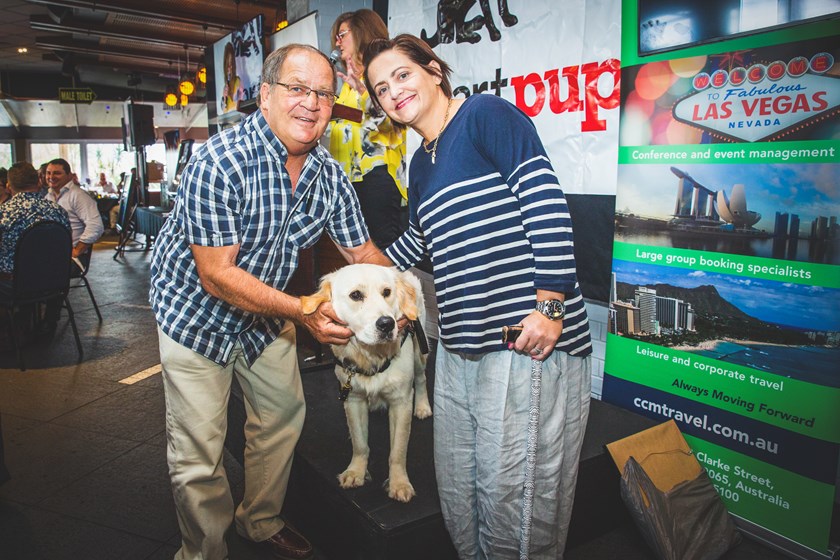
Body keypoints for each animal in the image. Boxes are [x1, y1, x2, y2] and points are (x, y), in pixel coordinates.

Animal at [300, 264, 430, 500]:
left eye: (387, 292)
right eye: (356, 295)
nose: (387, 324)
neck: (371, 356)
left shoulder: (401, 402)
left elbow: (398, 451)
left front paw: (399, 483)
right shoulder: (352, 399)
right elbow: (360, 443)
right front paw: (356, 472)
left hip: (419, 351)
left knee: (421, 378)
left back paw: (423, 407)